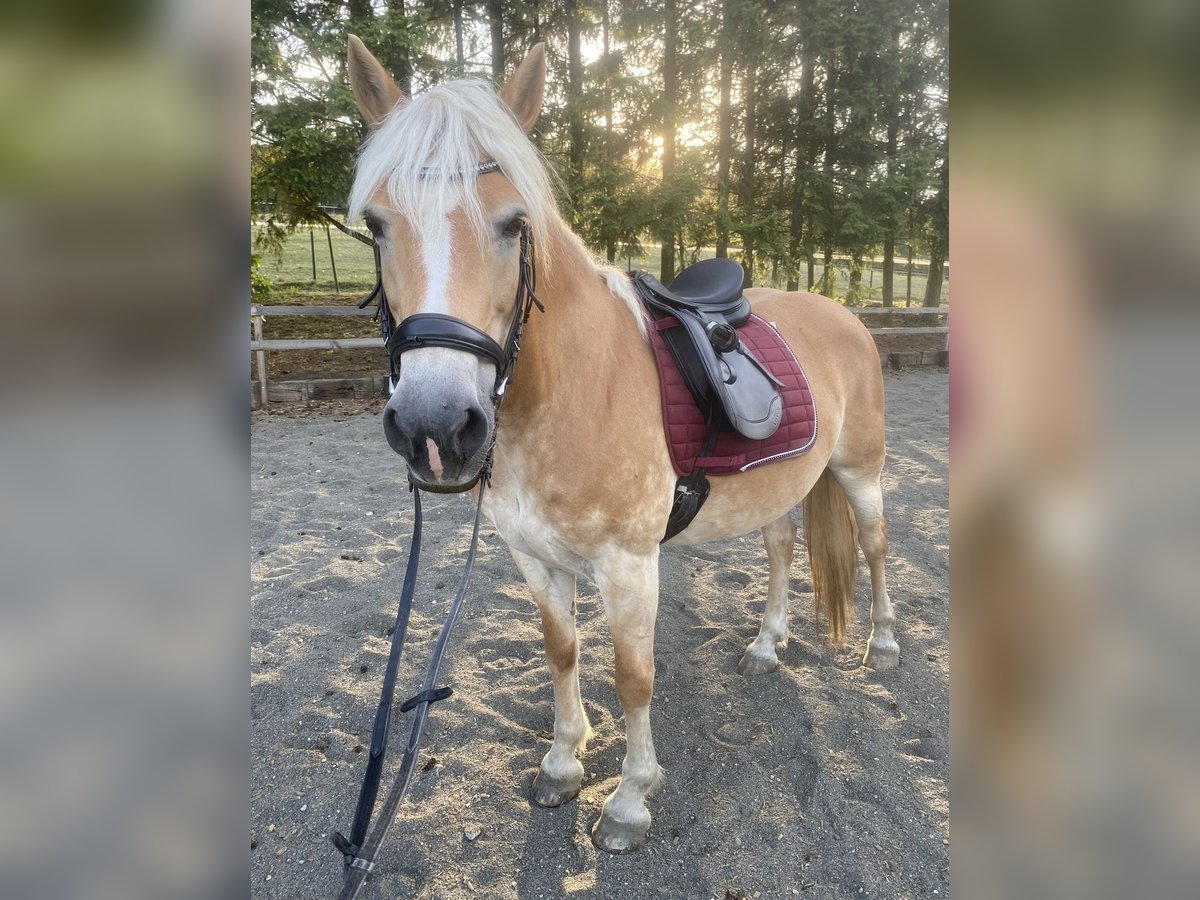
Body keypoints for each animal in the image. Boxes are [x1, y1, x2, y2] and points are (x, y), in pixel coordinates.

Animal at [343, 35, 897, 854]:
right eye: (378, 227)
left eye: (514, 223)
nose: (435, 426)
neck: (572, 391)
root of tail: (842, 311)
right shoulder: (534, 557)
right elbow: (562, 651)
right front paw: (563, 763)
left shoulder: (630, 565)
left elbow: (634, 678)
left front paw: (630, 801)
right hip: (780, 486)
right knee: (781, 551)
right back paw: (768, 645)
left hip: (860, 471)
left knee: (875, 545)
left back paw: (884, 643)